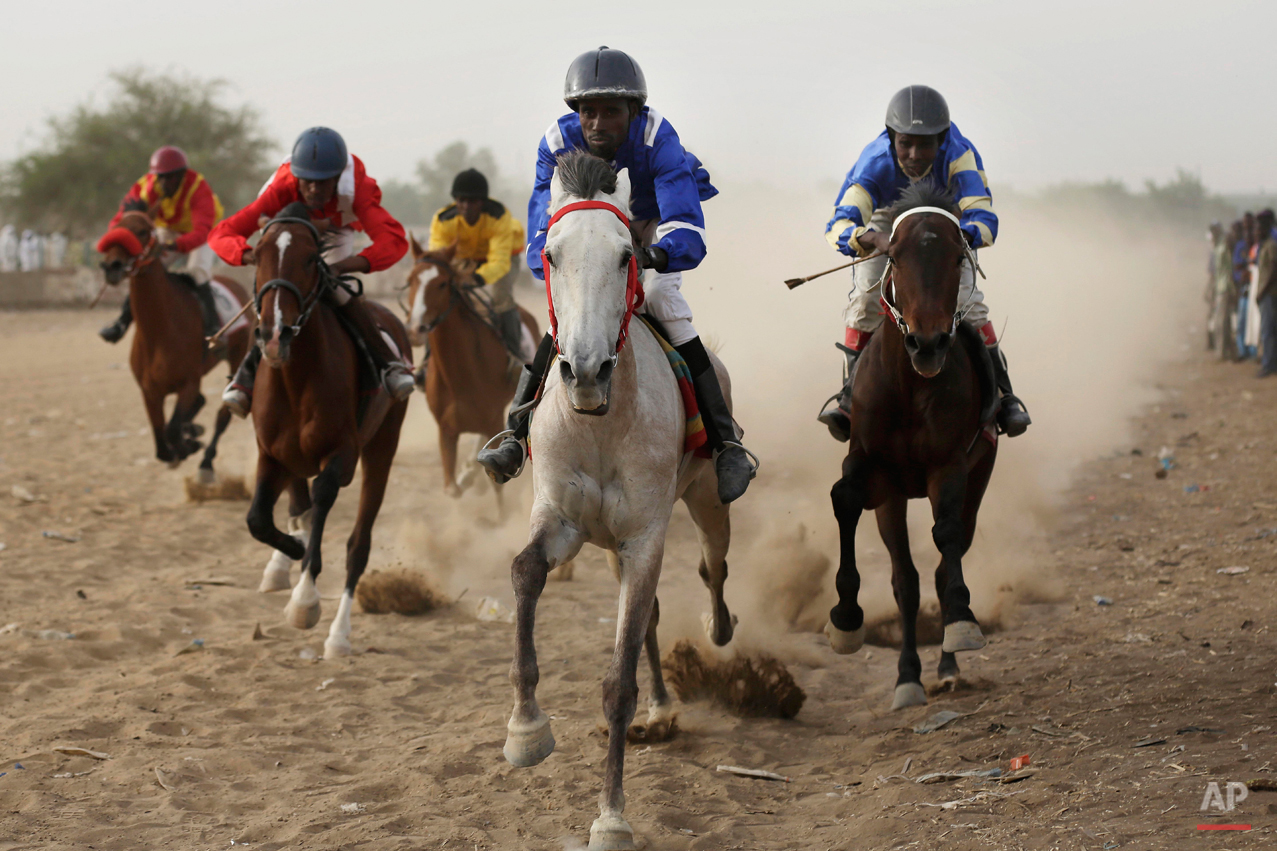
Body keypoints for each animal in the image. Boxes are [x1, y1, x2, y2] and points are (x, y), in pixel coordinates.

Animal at [97, 209, 251, 480]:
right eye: (115, 227)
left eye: (142, 231)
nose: (111, 266)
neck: (159, 333)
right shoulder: (149, 391)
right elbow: (161, 442)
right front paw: (185, 442)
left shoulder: (188, 382)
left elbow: (172, 429)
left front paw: (190, 445)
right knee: (199, 404)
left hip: (238, 353)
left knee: (222, 415)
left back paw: (206, 463)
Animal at [246, 204, 411, 654]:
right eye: (258, 254)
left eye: (308, 258)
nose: (275, 333)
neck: (294, 378)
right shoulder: (271, 454)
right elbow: (258, 518)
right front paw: (292, 549)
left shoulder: (343, 452)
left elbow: (322, 496)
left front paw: (304, 599)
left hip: (383, 445)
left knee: (359, 544)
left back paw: (339, 634)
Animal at [400, 235, 536, 506]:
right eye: (410, 280)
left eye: (442, 283)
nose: (415, 330)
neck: (458, 375)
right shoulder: (445, 430)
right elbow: (451, 489)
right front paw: (463, 479)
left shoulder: (492, 417)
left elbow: (497, 484)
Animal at [500, 152, 735, 848]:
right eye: (550, 255)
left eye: (628, 255)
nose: (584, 370)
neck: (601, 422)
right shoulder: (562, 520)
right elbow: (524, 571)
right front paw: (526, 731)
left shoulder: (643, 539)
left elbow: (616, 683)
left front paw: (611, 816)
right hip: (607, 544)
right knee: (652, 614)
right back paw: (661, 707)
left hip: (705, 502)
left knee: (713, 567)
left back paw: (717, 629)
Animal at [822, 184, 1001, 710]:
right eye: (894, 257)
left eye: (956, 256)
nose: (927, 344)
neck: (910, 385)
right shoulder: (873, 468)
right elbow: (845, 500)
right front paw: (846, 619)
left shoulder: (950, 465)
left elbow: (947, 540)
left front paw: (961, 623)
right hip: (894, 498)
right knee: (906, 580)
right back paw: (908, 677)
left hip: (980, 473)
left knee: (946, 559)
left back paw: (946, 664)